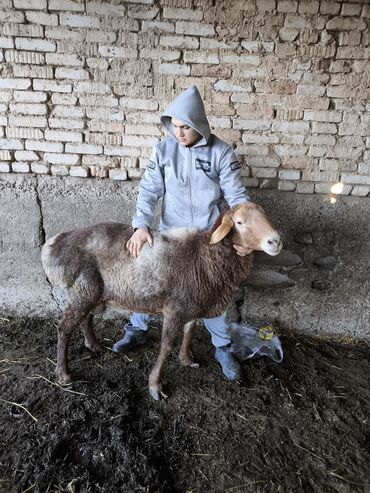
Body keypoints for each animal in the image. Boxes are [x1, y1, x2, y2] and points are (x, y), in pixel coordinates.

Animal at [42, 202, 282, 398]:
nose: (275, 241)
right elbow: (166, 346)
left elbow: (189, 331)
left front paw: (186, 359)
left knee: (86, 318)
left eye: (265, 216)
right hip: (85, 290)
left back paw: (93, 345)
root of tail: (55, 243)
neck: (204, 255)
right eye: (239, 222)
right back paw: (63, 374)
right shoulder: (175, 308)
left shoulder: (191, 303)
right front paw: (155, 385)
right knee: (64, 328)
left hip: (90, 291)